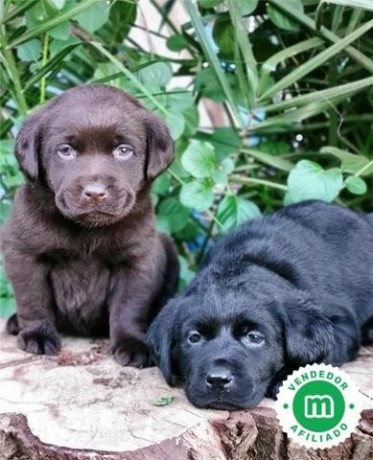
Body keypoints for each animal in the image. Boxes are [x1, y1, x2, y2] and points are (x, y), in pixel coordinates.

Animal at [1, 84, 179, 368]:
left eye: (123, 150)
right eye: (65, 150)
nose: (95, 192)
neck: (87, 230)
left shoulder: (138, 259)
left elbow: (130, 307)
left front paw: (132, 343)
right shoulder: (24, 252)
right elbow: (34, 298)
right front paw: (37, 335)